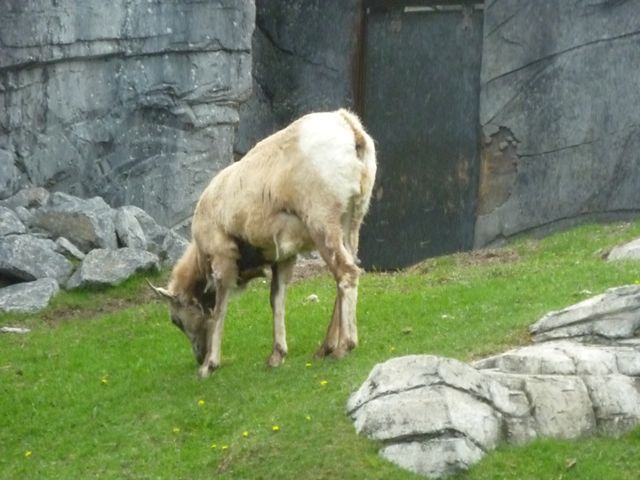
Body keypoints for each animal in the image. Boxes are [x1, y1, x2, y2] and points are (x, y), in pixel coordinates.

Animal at [149, 109, 377, 378]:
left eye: (175, 320)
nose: (199, 356)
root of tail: (350, 127)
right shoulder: (283, 256)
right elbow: (276, 299)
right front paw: (277, 354)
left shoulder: (222, 257)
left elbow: (219, 309)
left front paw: (209, 365)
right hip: (351, 222)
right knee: (344, 276)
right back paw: (326, 347)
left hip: (322, 221)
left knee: (347, 273)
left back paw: (344, 346)